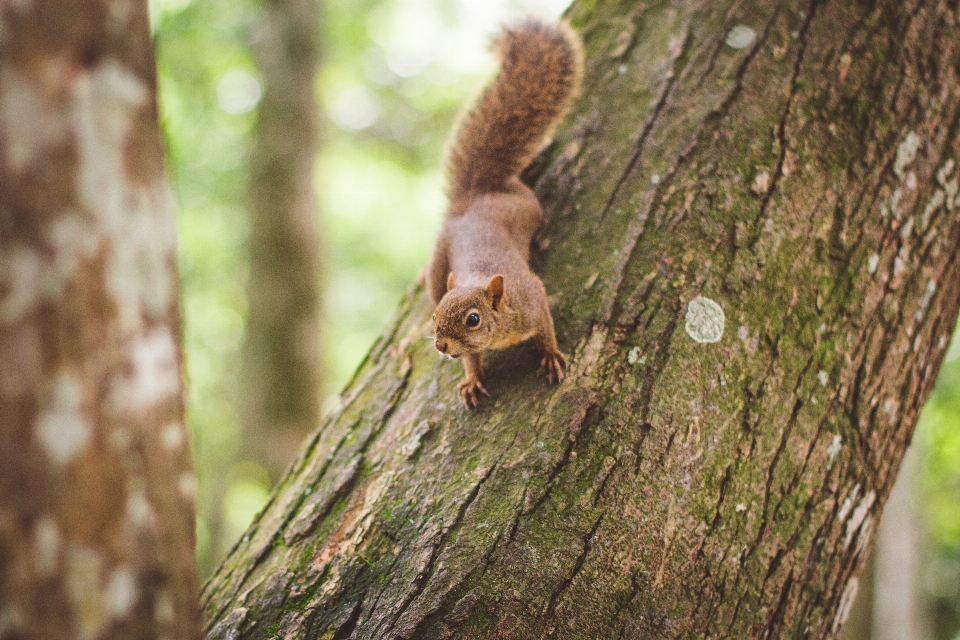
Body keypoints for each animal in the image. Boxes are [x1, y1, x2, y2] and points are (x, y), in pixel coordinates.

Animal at [430, 21, 584, 410]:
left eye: (473, 319)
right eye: (436, 315)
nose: (440, 345)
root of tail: (474, 195)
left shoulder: (533, 299)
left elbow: (546, 328)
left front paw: (550, 356)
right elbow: (471, 359)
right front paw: (472, 380)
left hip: (528, 206)